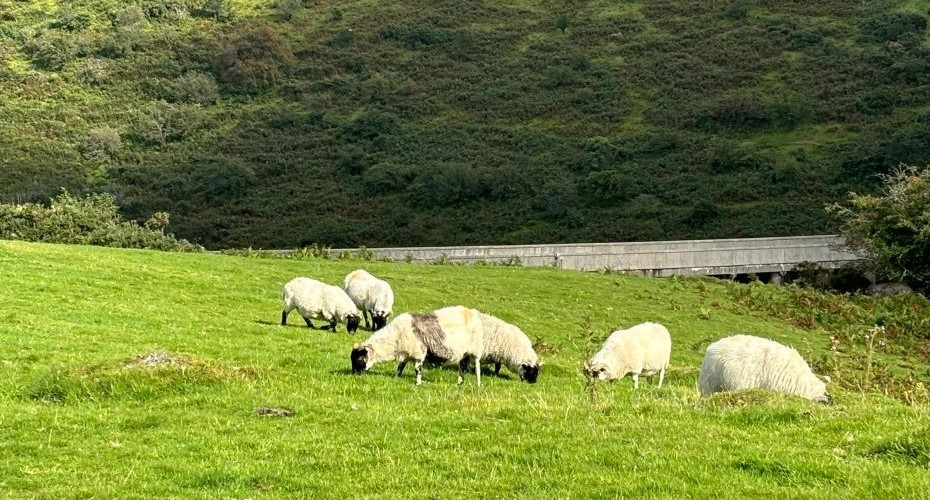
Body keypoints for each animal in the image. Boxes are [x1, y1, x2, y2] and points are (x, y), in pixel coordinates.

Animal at [348, 304, 486, 386]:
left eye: (359, 359)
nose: (355, 375)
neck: (395, 337)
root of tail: (472, 313)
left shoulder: (418, 352)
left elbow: (417, 369)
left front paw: (418, 383)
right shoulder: (406, 353)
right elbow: (400, 367)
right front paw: (396, 379)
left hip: (475, 349)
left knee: (477, 367)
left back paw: (478, 384)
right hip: (464, 353)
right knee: (462, 367)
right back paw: (460, 383)